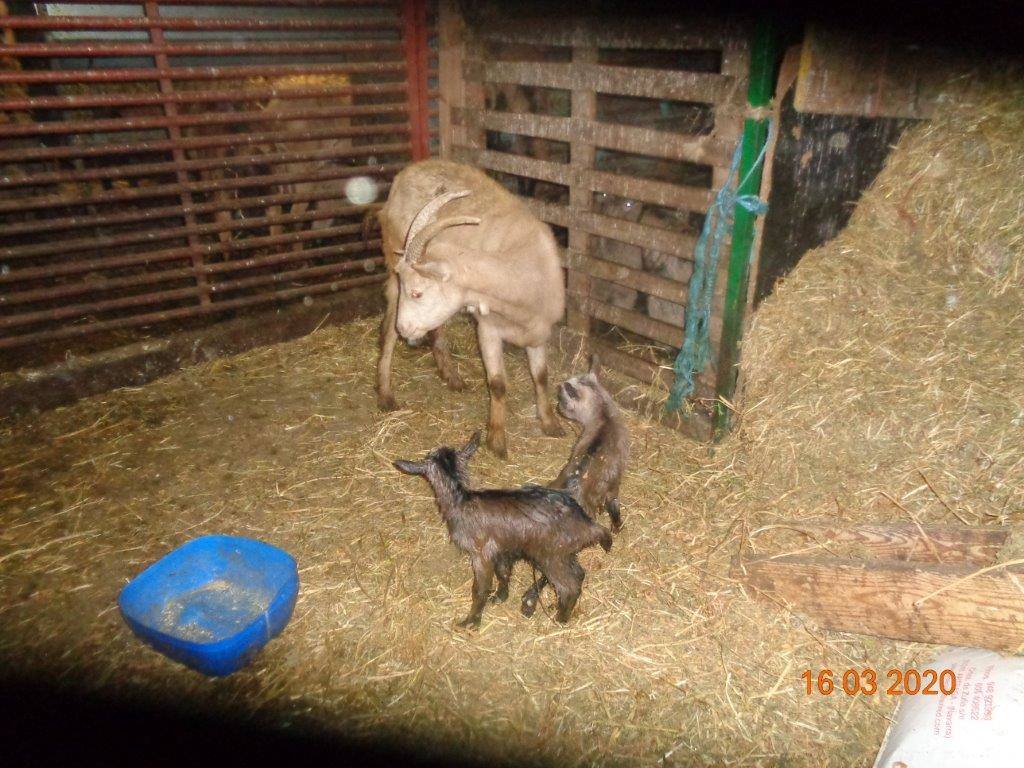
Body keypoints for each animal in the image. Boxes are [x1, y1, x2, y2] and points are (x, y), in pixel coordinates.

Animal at [378, 157, 565, 456]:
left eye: (417, 293)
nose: (405, 328)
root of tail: (406, 173)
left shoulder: (539, 330)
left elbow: (541, 376)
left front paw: (550, 423)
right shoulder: (488, 329)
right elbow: (498, 385)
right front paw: (496, 440)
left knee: (436, 329)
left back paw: (450, 376)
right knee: (386, 333)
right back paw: (385, 395)